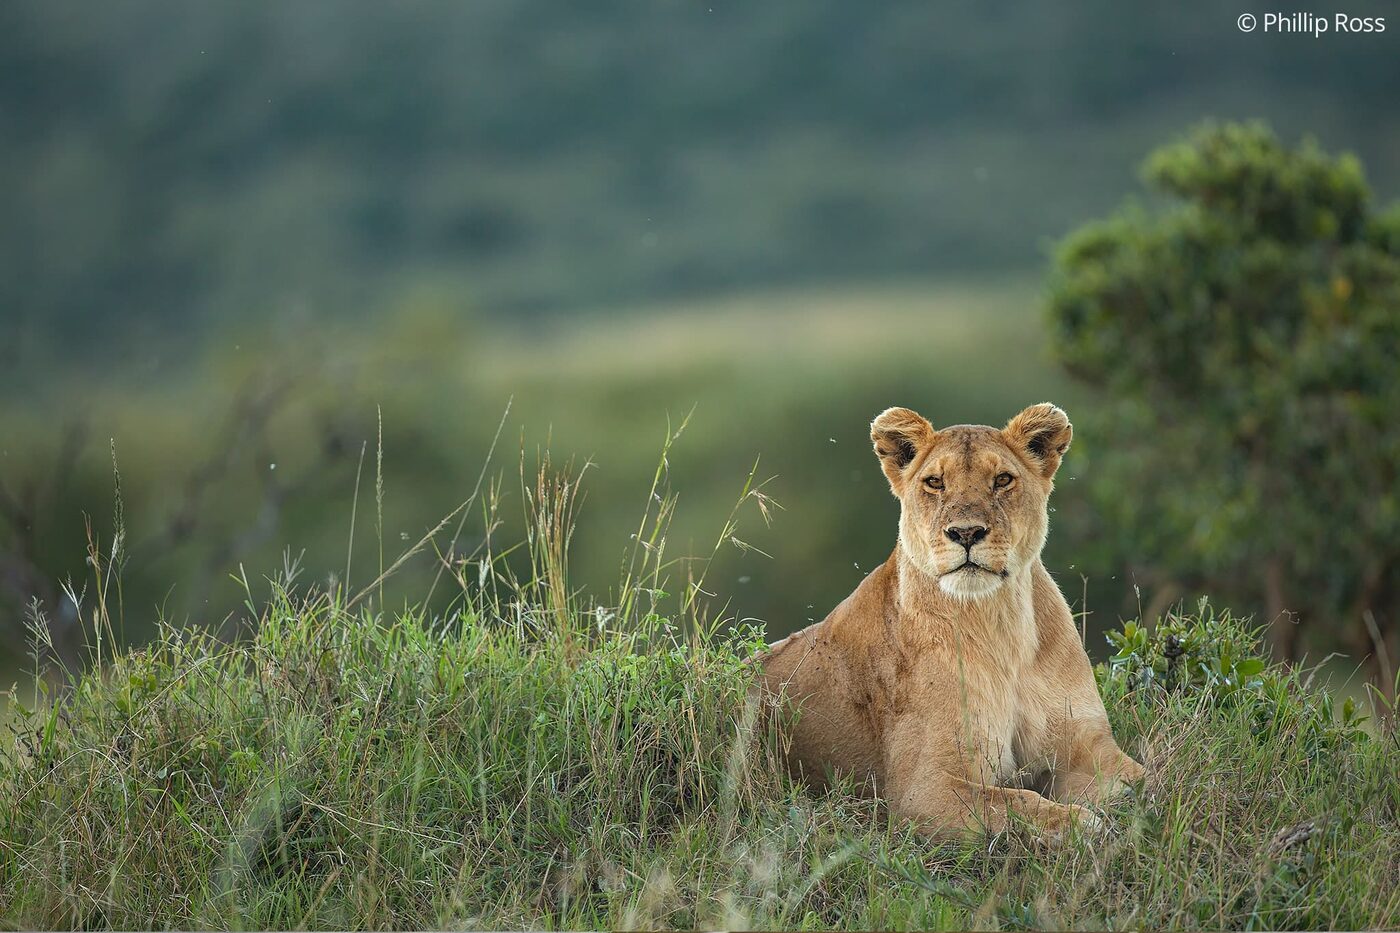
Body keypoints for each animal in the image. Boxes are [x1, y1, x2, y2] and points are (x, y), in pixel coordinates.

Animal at [755, 403, 1144, 840]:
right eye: (935, 482)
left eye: (1003, 480)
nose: (967, 532)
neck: (999, 625)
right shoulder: (923, 788)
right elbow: (1015, 803)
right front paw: (1080, 823)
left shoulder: (1086, 746)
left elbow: (1144, 781)